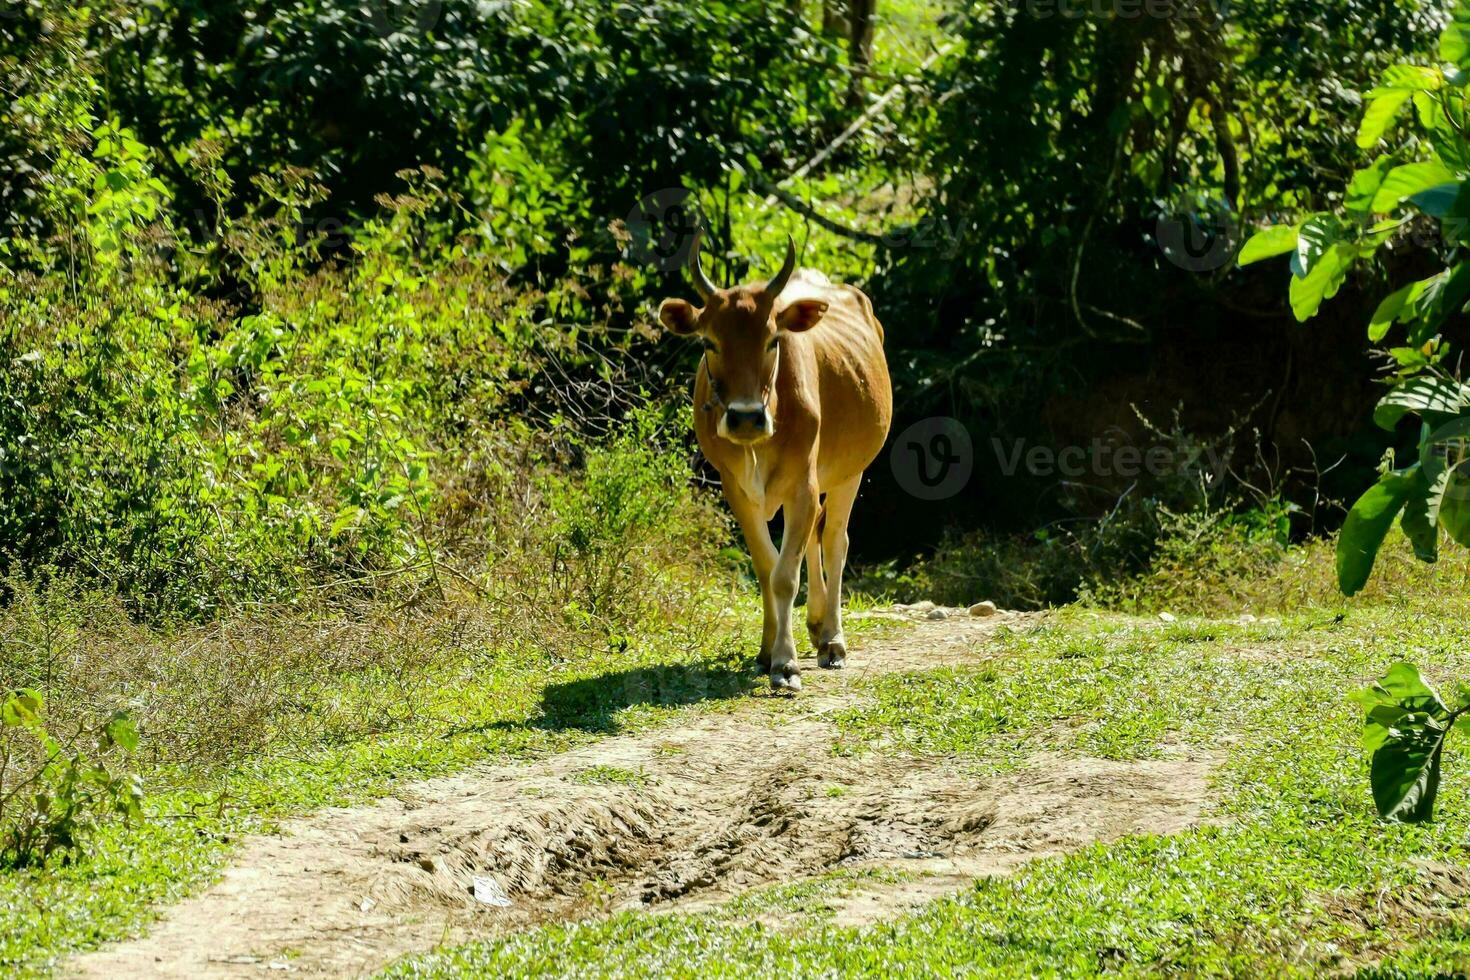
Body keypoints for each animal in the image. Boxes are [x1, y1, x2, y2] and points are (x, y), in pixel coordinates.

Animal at [661, 232, 887, 690]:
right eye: (709, 342)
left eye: (772, 340)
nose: (746, 417)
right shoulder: (736, 490)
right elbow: (768, 569)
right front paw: (768, 652)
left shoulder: (802, 484)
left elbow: (786, 575)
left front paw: (786, 663)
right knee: (815, 540)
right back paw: (816, 625)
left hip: (849, 472)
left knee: (834, 540)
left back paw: (832, 639)